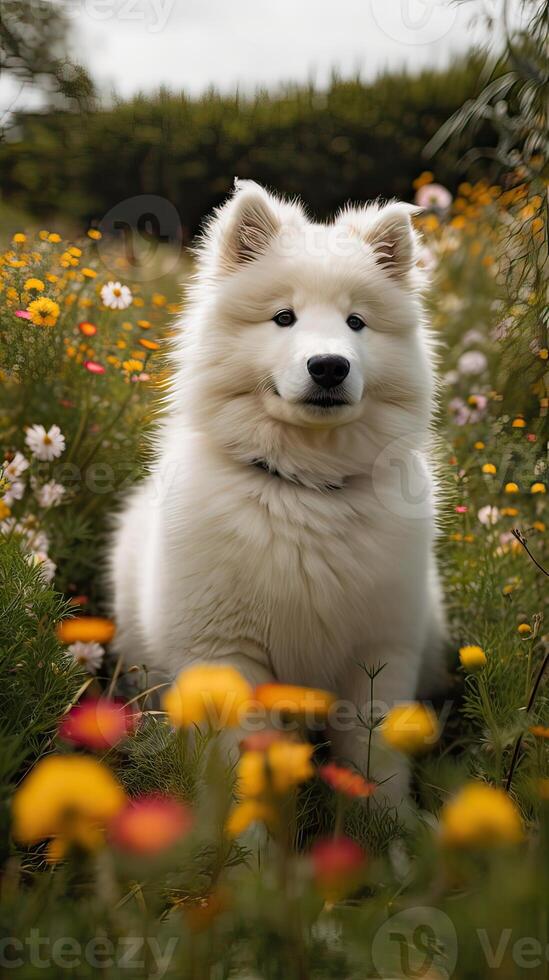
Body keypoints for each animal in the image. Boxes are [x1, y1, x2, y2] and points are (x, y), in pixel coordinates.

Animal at [110, 180, 446, 808]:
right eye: (283, 318)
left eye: (356, 322)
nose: (329, 366)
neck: (304, 489)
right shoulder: (228, 657)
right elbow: (245, 768)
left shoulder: (379, 655)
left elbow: (375, 761)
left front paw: (389, 828)